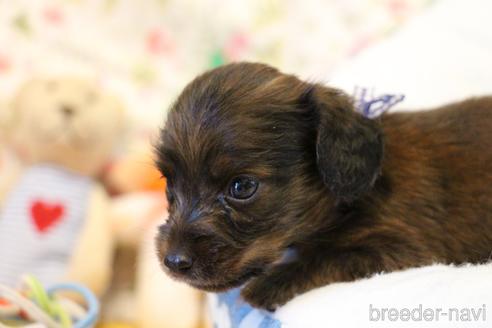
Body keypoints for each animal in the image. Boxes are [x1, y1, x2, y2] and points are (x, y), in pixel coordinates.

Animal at [155, 62, 492, 310]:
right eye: (169, 185)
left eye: (242, 187)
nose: (173, 262)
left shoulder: (404, 249)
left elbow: (327, 258)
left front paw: (269, 285)